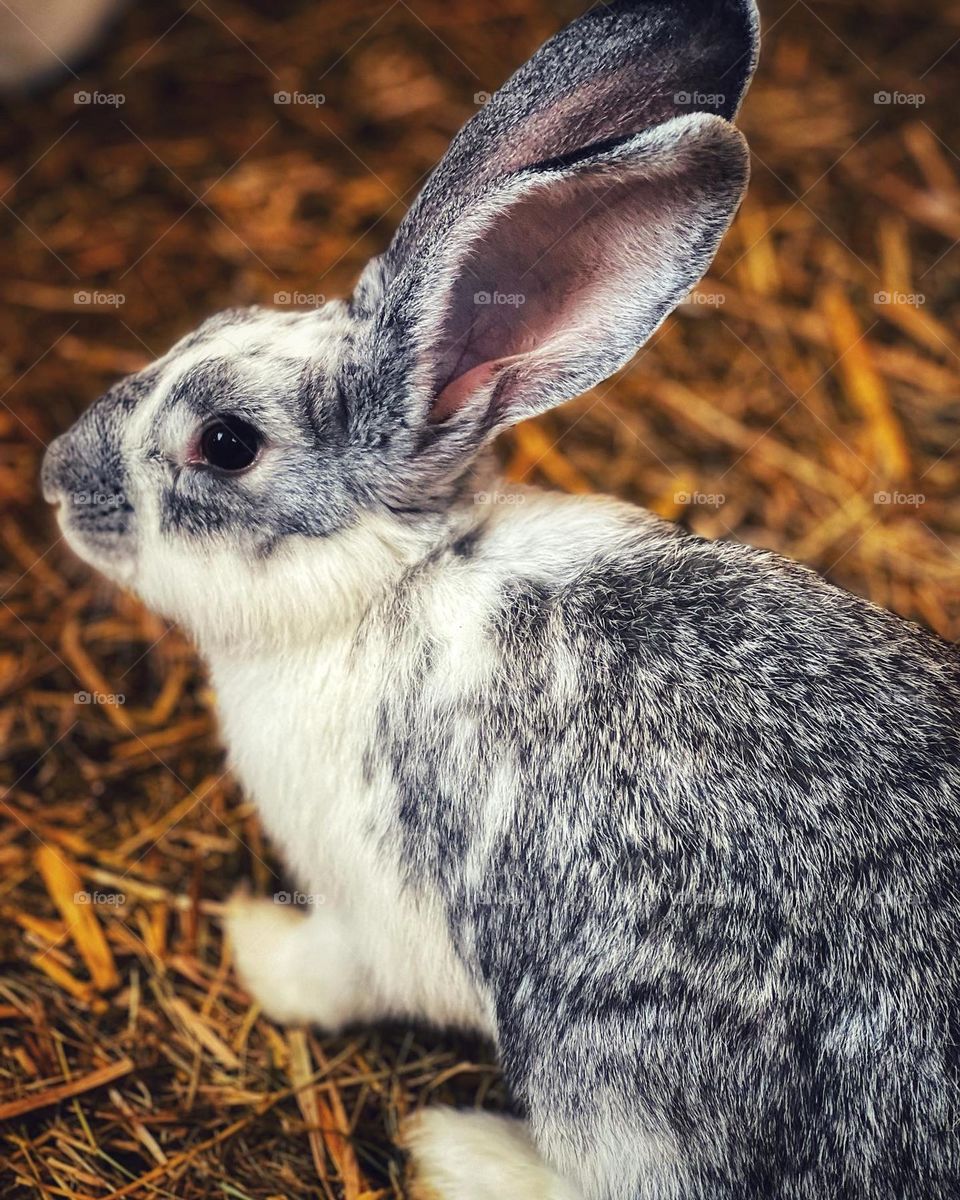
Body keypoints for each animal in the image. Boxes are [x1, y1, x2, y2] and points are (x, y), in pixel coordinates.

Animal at [41, 0, 960, 1197]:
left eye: (227, 443)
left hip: (603, 1067)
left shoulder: (377, 908)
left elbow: (338, 974)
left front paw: (254, 947)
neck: (390, 583)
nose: (56, 475)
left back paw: (454, 1146)